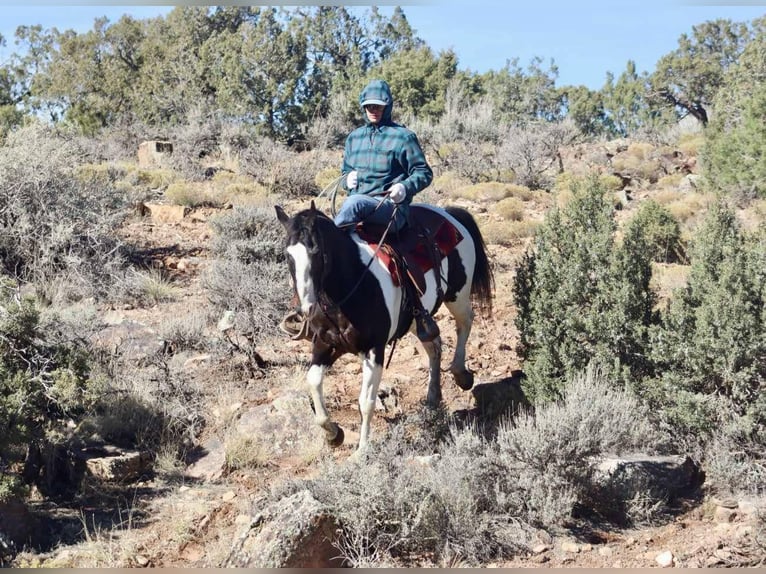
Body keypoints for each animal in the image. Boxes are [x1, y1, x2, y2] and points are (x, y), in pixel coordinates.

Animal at [274, 201, 493, 455]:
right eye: (287, 255)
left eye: (316, 251)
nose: (305, 308)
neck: (349, 287)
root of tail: (449, 213)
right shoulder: (325, 343)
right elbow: (313, 382)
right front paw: (333, 434)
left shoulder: (374, 350)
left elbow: (366, 402)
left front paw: (362, 451)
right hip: (417, 319)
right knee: (434, 345)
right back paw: (433, 397)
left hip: (457, 295)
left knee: (465, 323)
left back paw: (460, 373)